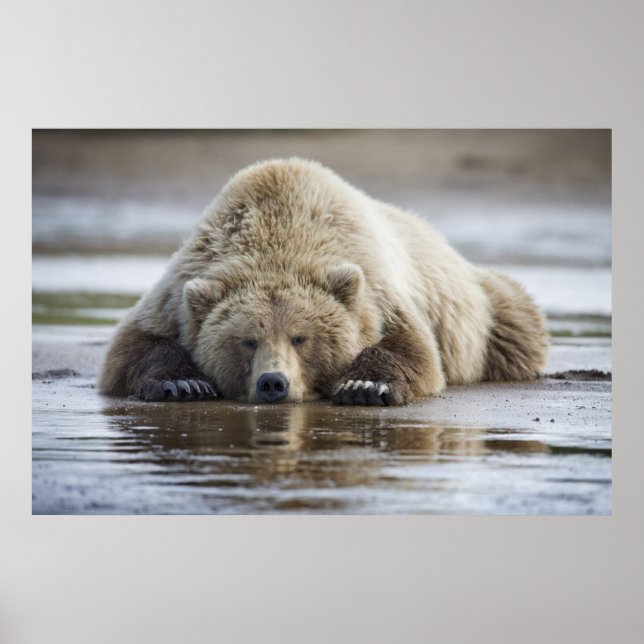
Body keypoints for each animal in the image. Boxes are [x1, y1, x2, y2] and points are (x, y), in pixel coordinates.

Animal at [98, 158, 549, 406]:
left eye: (301, 337)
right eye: (247, 340)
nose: (273, 383)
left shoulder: (376, 289)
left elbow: (413, 350)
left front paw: (365, 386)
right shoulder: (182, 286)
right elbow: (132, 347)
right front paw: (183, 382)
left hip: (486, 309)